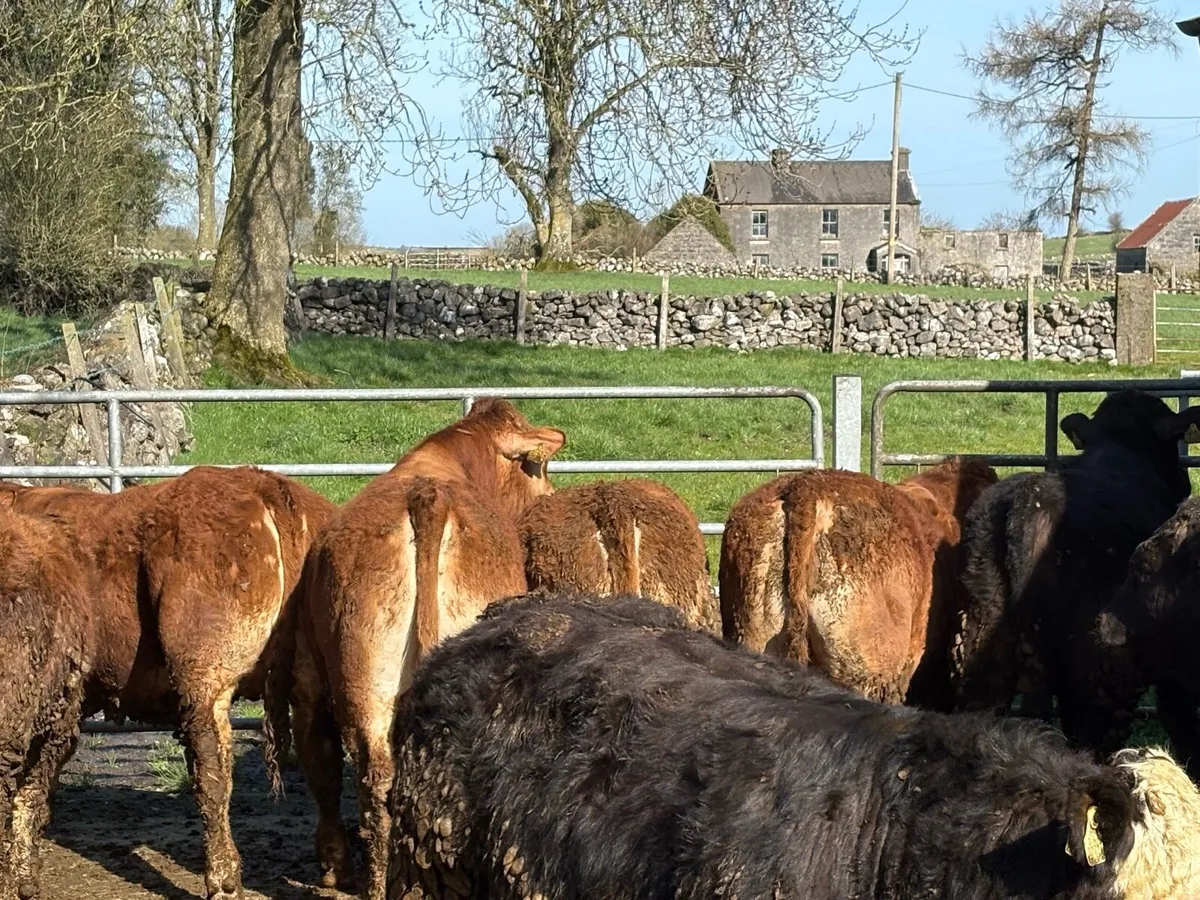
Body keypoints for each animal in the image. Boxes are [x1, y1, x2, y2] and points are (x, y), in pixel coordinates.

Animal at [0, 466, 336, 900]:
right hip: (310, 685)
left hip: (204, 683)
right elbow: (34, 790)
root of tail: (264, 485)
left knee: (212, 774)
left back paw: (223, 880)